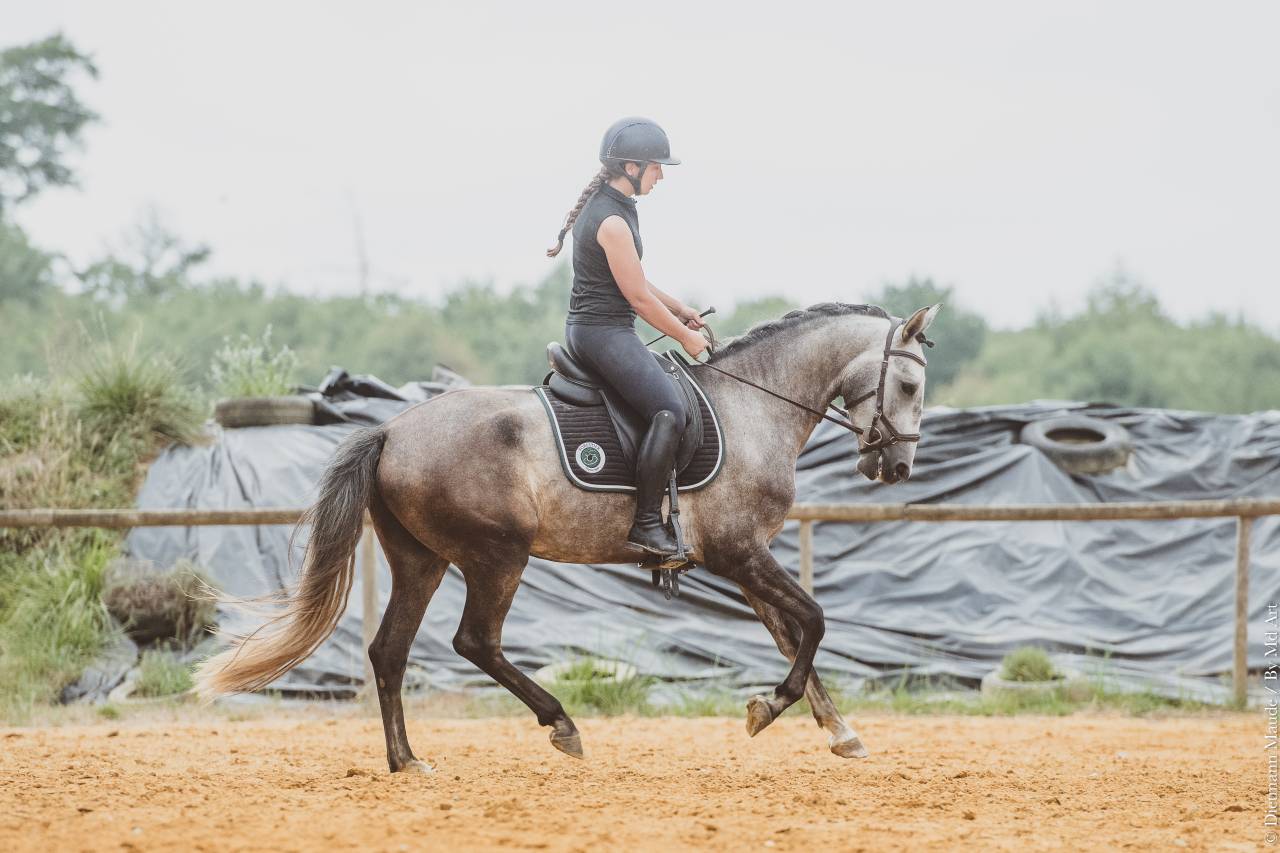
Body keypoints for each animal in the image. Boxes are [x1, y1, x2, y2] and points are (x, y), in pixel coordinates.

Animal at [195, 301, 941, 773]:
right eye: (907, 384)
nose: (898, 467)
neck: (754, 405)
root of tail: (392, 431)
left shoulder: (744, 556)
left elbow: (792, 635)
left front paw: (839, 731)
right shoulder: (739, 553)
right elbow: (813, 621)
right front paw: (769, 709)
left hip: (422, 560)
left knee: (390, 651)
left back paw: (406, 761)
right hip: (497, 557)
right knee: (475, 642)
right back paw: (561, 724)